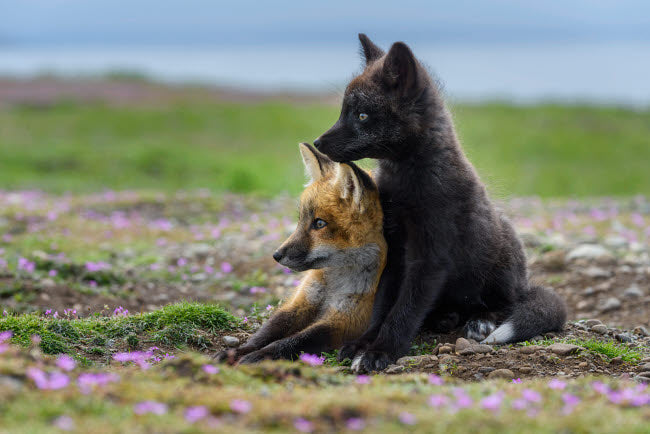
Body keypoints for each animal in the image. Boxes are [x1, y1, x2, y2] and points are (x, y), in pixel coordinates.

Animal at [216, 143, 387, 364]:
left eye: (319, 223)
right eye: (301, 220)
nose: (276, 255)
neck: (334, 284)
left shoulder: (346, 322)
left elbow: (292, 341)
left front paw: (259, 356)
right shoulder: (301, 302)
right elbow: (267, 331)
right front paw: (239, 351)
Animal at [312, 34, 567, 373]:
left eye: (362, 115)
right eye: (344, 111)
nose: (318, 143)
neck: (406, 182)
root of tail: (525, 282)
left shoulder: (430, 258)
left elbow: (402, 312)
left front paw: (381, 351)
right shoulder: (394, 252)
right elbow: (382, 307)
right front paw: (363, 343)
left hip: (500, 266)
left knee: (507, 305)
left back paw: (481, 321)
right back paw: (445, 316)